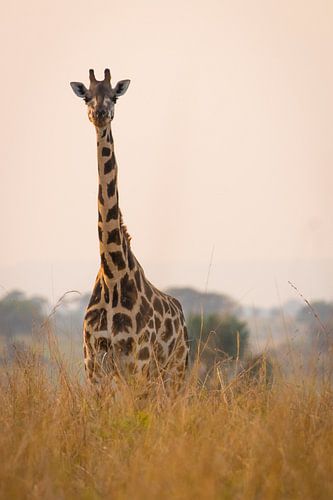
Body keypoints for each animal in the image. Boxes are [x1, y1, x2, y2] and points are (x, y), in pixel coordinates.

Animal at [69, 68, 189, 392]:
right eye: (86, 96)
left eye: (114, 96)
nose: (99, 113)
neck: (113, 273)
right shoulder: (93, 363)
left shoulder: (140, 361)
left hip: (175, 371)